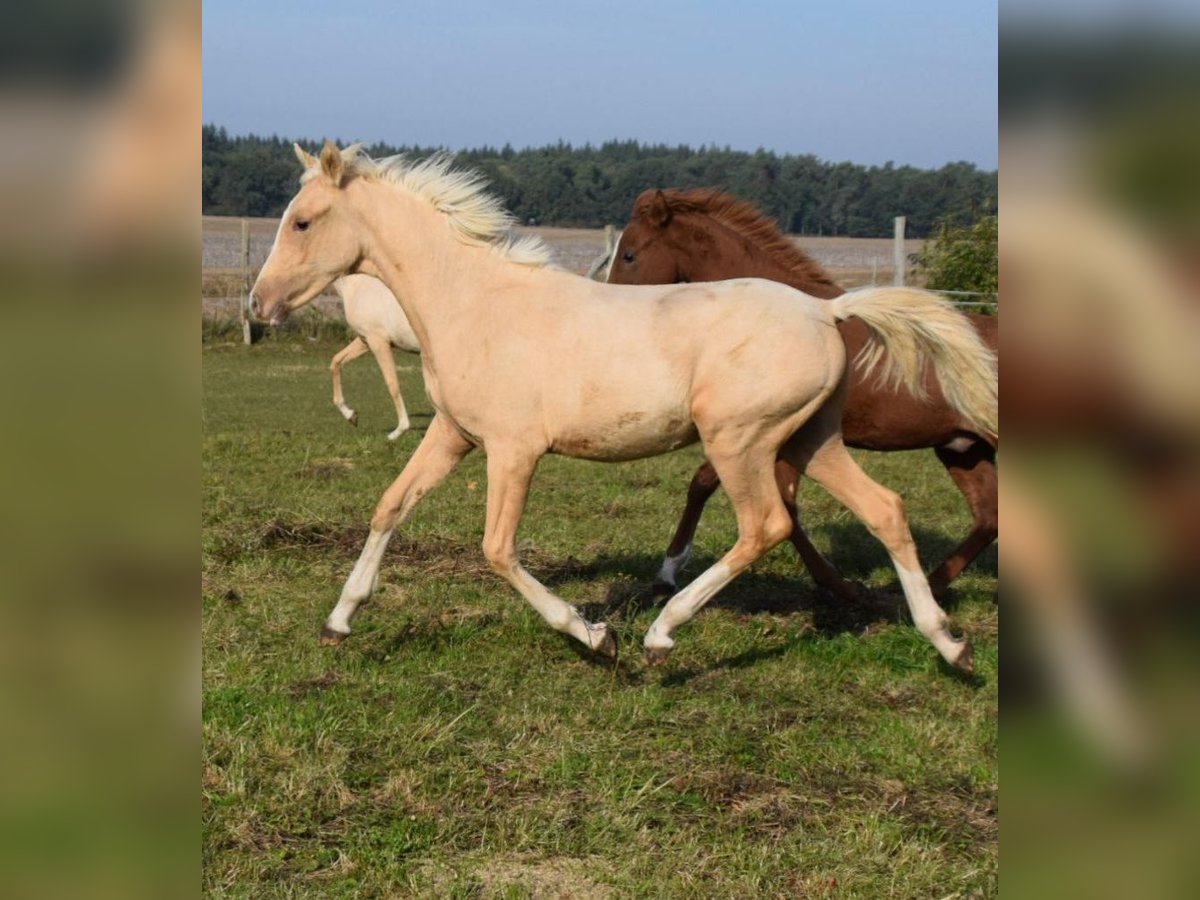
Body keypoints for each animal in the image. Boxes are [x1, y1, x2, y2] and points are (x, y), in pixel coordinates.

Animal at [331, 277, 420, 441]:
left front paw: (398, 431)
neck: (358, 286)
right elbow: (336, 362)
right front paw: (351, 416)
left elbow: (392, 383)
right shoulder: (365, 340)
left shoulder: (378, 342)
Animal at [604, 188, 998, 600]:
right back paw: (919, 590)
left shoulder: (762, 434)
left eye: (629, 254)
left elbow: (745, 497)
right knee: (989, 518)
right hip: (962, 449)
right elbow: (729, 492)